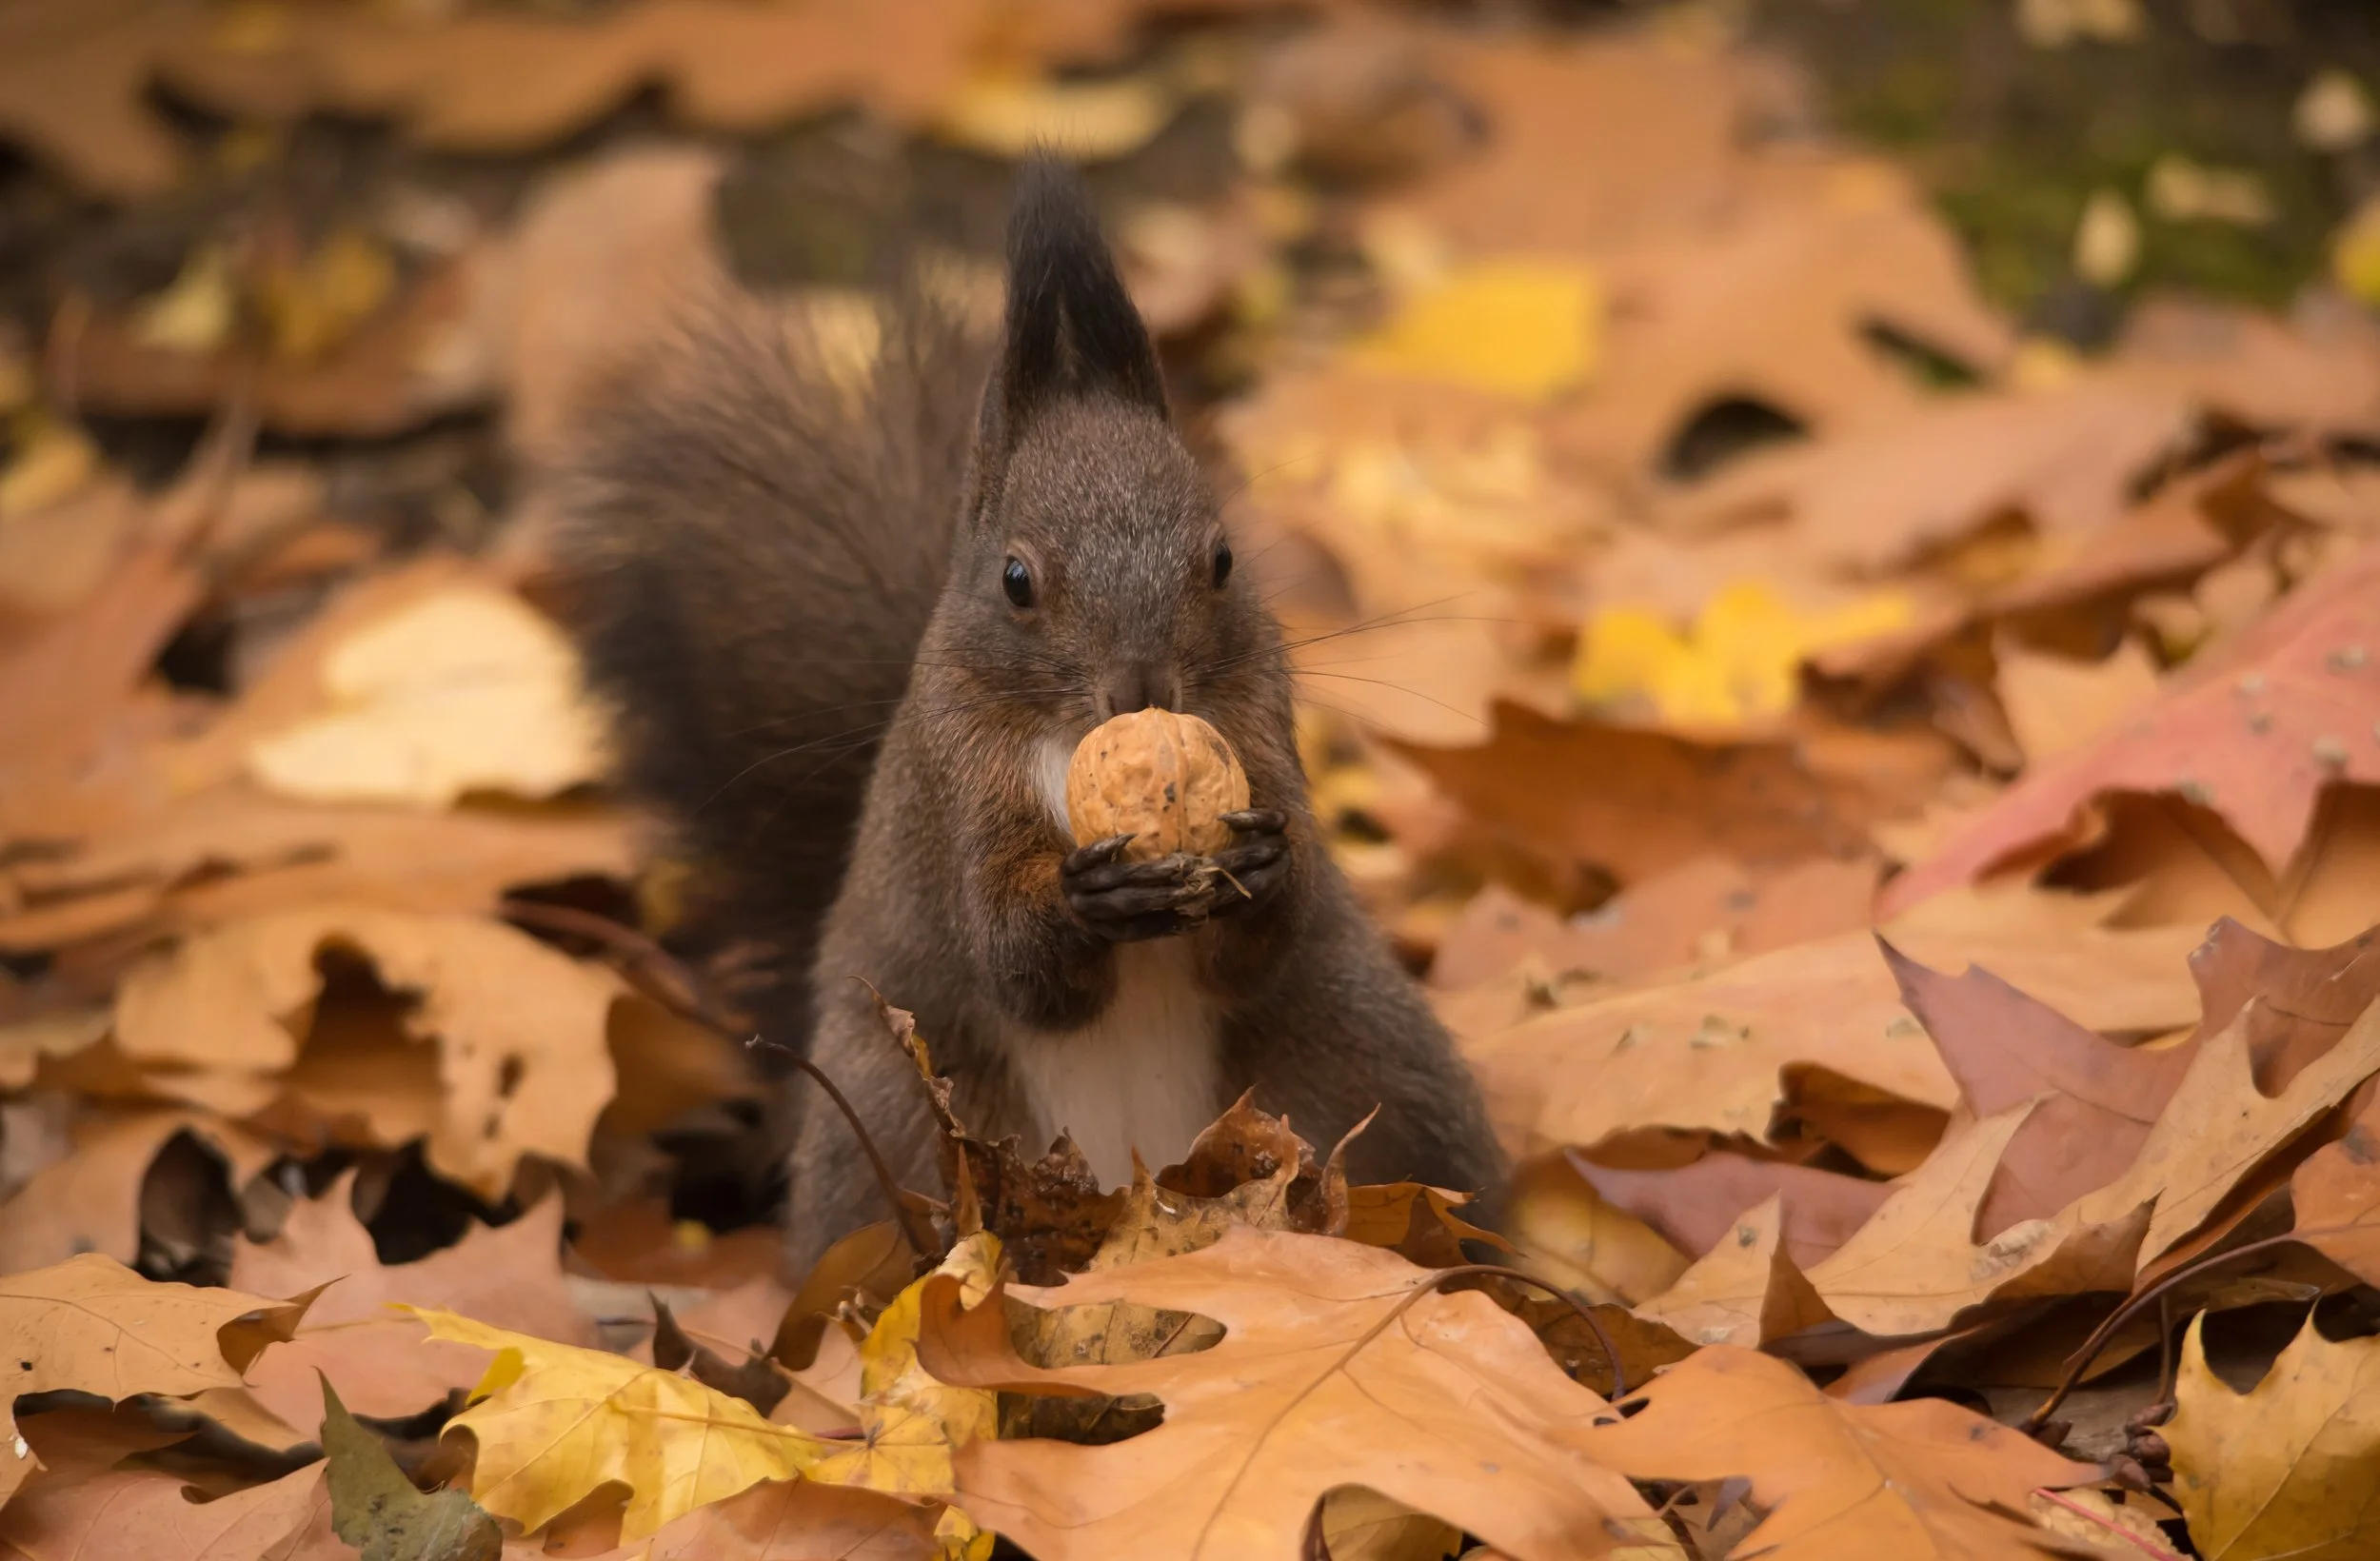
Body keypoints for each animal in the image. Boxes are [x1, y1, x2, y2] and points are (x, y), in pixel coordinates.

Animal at [557, 159, 1505, 1275]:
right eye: (1015, 578)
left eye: (1224, 560)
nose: (1141, 688)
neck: (1066, 736)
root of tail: (1136, 1192)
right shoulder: (955, 777)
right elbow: (1016, 962)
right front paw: (1086, 896)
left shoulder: (1263, 726)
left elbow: (1260, 941)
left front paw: (1266, 861)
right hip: (891, 1129)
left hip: (1373, 1063)